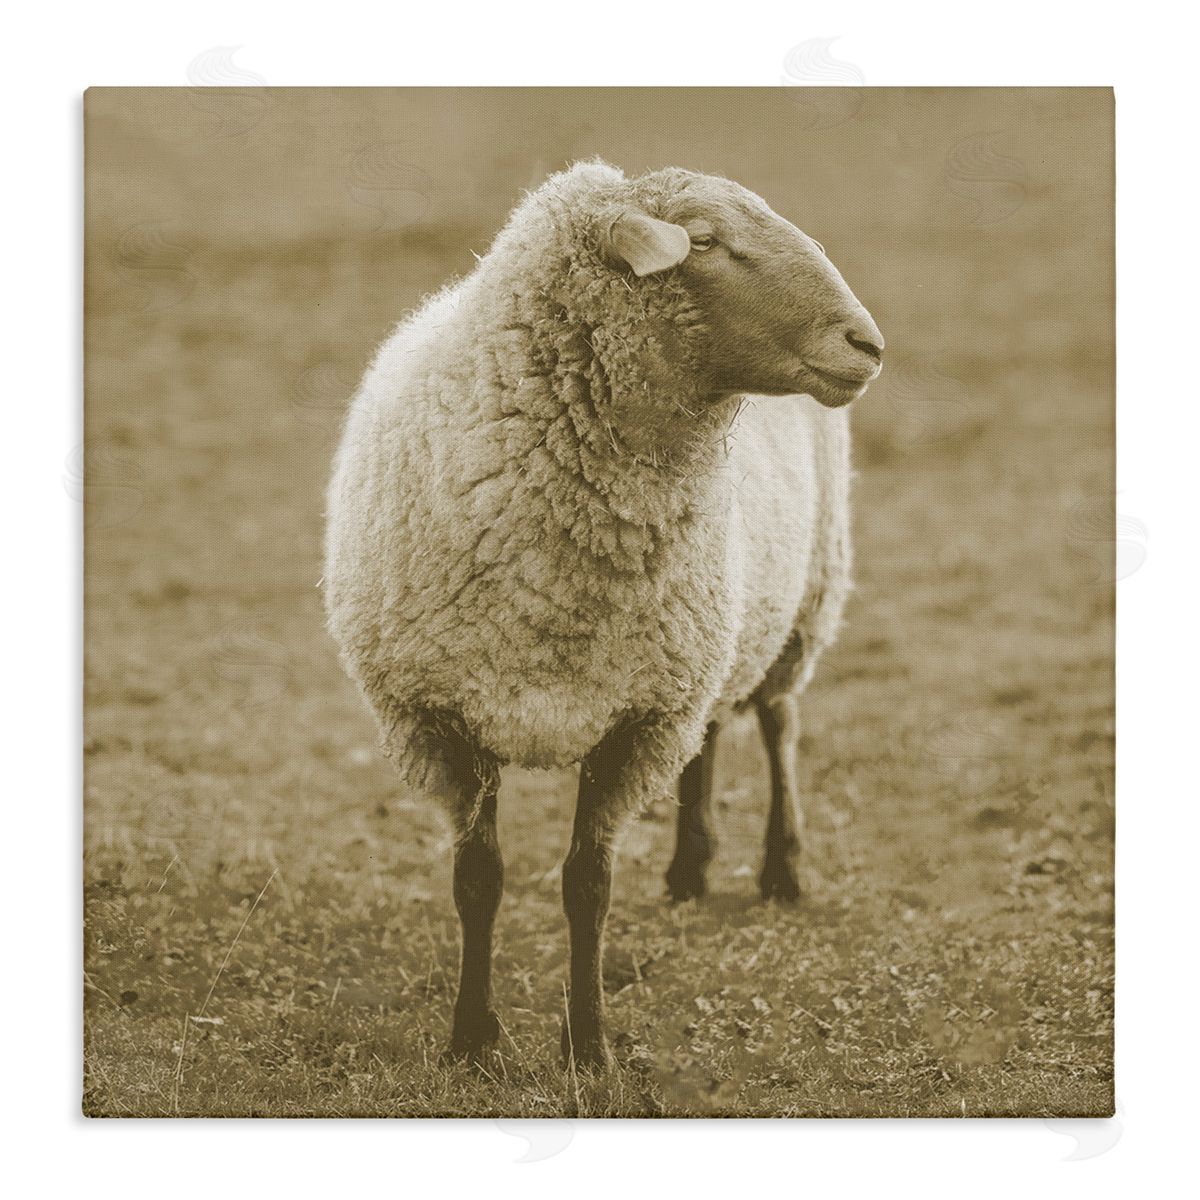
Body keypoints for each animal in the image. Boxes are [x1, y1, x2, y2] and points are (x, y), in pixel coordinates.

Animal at [324, 161, 884, 1070]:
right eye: (704, 240)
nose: (867, 344)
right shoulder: (444, 717)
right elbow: (477, 881)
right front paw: (471, 1040)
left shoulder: (635, 722)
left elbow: (587, 885)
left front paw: (588, 1045)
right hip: (708, 637)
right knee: (713, 731)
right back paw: (690, 868)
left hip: (804, 597)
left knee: (776, 721)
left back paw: (781, 867)